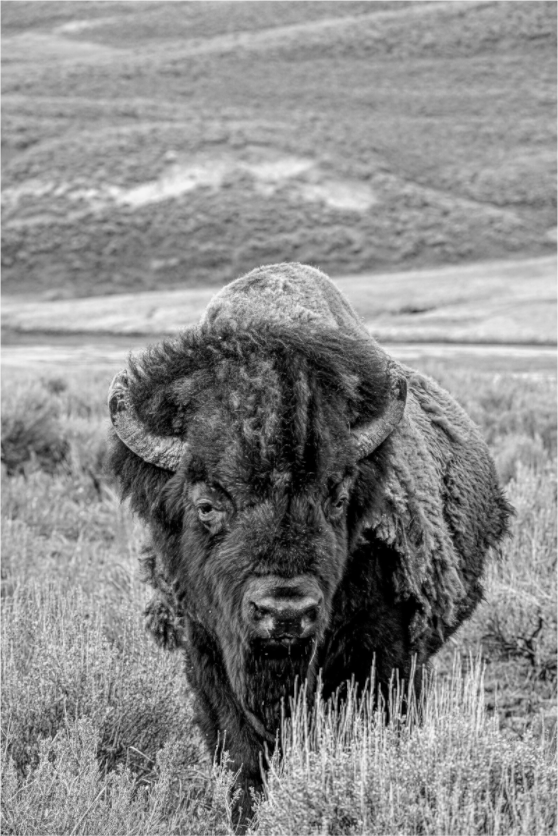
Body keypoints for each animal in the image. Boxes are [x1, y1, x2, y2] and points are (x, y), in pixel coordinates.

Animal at [107, 262, 511, 818]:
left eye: (337, 498)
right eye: (207, 505)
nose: (285, 612)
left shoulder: (384, 658)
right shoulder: (207, 653)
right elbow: (242, 756)